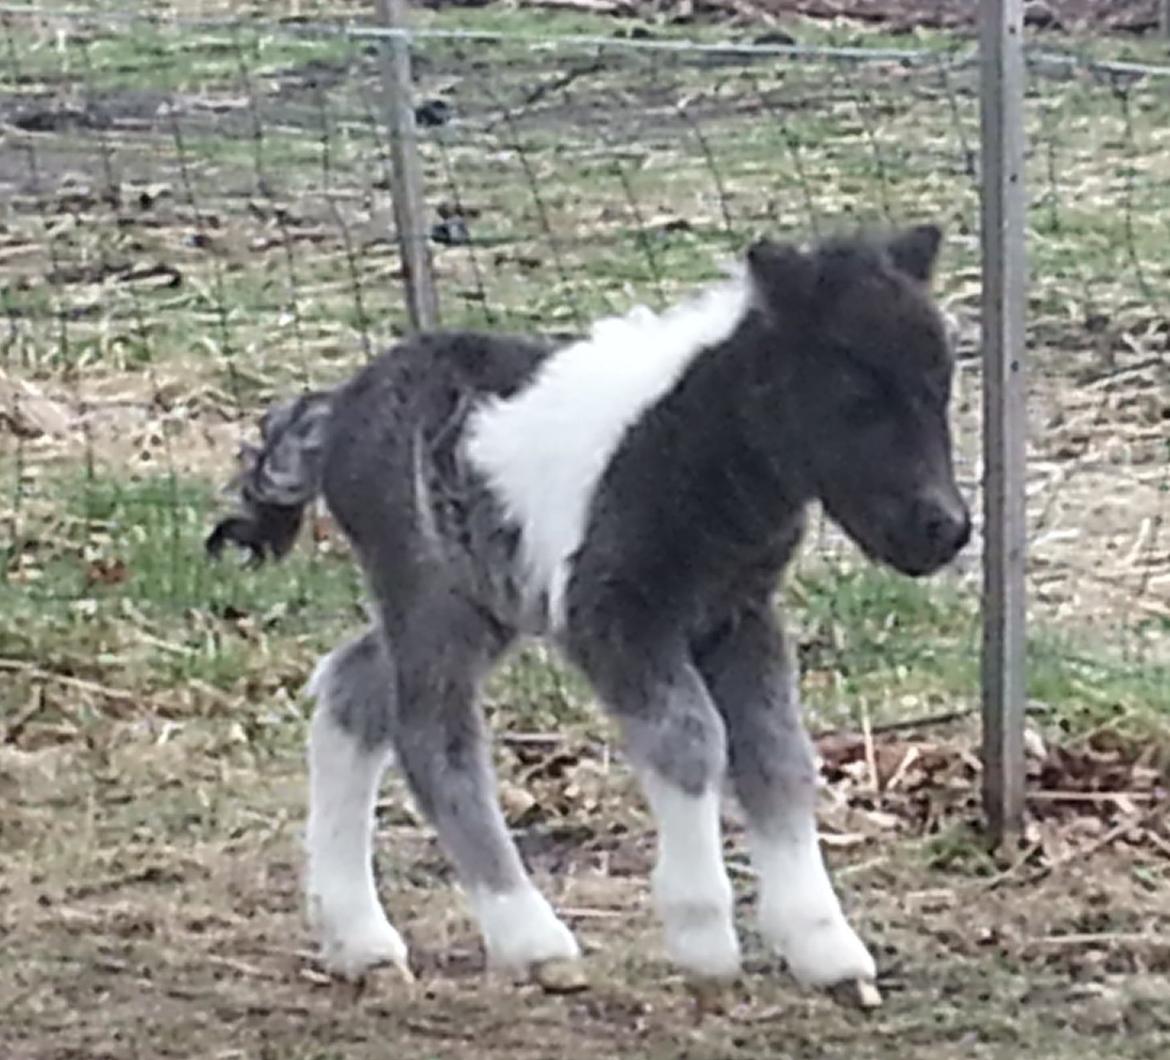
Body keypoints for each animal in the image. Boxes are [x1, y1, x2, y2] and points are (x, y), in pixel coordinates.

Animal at [208, 223, 968, 992]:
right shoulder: (613, 616)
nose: (946, 529)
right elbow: (691, 741)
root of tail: (336, 410)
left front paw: (822, 943)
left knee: (353, 688)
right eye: (855, 397)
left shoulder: (738, 616)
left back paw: (357, 936)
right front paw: (702, 933)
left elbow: (779, 757)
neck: (695, 452)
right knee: (430, 740)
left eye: (941, 390)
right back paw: (528, 937)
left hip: (477, 601)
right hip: (428, 594)